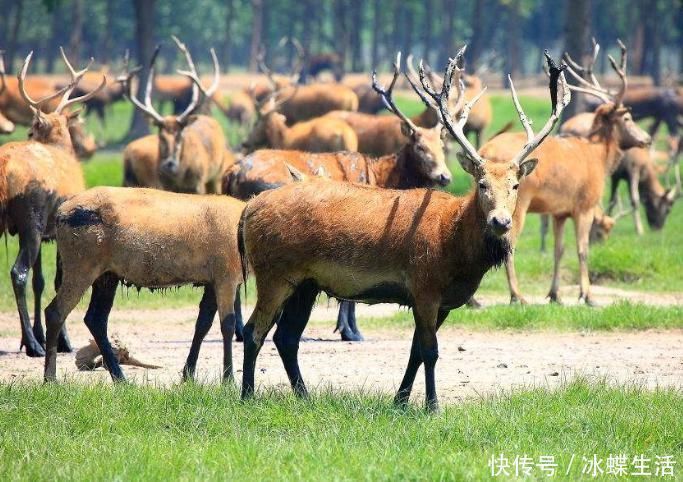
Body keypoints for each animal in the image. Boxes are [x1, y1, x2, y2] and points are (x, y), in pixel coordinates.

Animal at [0, 50, 105, 358]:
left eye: (31, 131)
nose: (28, 134)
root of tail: (5, 169)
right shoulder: (62, 231)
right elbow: (59, 282)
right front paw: (61, 341)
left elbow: (41, 281)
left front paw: (40, 333)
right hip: (31, 220)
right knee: (17, 273)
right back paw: (34, 346)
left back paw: (31, 340)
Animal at [127, 37, 234, 193]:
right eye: (161, 136)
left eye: (179, 137)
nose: (169, 164)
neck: (180, 179)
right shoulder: (164, 184)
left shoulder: (198, 183)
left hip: (217, 174)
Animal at [238, 49, 568, 410]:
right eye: (481, 184)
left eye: (515, 185)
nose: (501, 222)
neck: (457, 253)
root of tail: (249, 209)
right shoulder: (424, 286)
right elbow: (430, 351)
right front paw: (432, 405)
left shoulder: (442, 301)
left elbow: (415, 353)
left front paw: (400, 401)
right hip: (274, 273)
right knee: (253, 331)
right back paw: (247, 395)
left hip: (306, 283)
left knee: (286, 336)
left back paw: (304, 396)